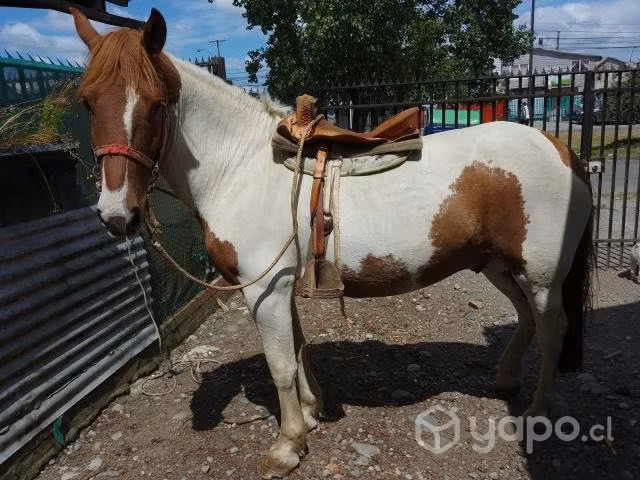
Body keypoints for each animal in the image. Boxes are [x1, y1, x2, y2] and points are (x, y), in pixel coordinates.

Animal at [71, 8, 594, 478]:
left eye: (156, 103)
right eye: (87, 101)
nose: (116, 215)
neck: (237, 166)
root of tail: (561, 149)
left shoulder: (263, 291)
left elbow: (280, 364)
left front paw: (287, 445)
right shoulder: (280, 288)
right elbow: (299, 350)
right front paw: (311, 410)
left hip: (540, 277)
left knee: (552, 328)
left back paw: (537, 414)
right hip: (499, 266)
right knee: (526, 319)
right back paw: (506, 380)